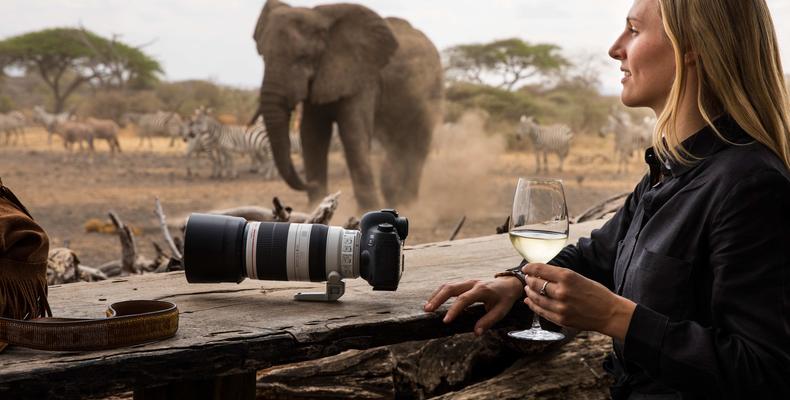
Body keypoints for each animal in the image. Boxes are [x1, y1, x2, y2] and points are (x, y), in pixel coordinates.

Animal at [251, 0, 442, 211]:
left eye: (303, 57)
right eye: (263, 57)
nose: (310, 182)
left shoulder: (363, 76)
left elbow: (353, 133)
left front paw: (366, 211)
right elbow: (312, 135)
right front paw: (316, 208)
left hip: (433, 90)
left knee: (419, 141)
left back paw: (409, 204)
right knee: (396, 144)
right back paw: (396, 200)